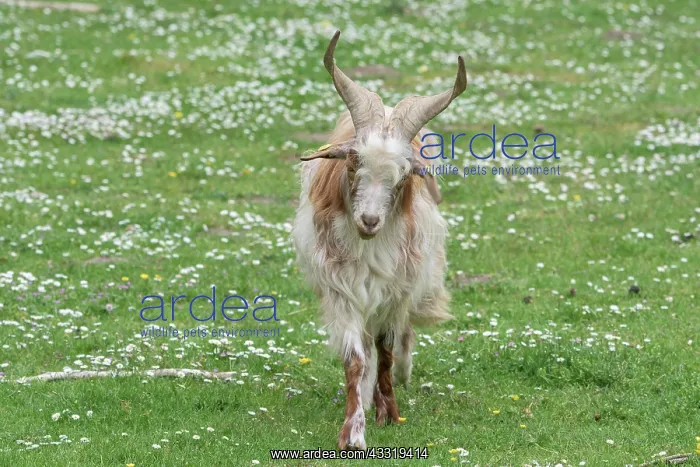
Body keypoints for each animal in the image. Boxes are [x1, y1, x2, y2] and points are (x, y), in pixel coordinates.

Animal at [292, 30, 468, 450]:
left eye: (403, 175)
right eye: (353, 163)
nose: (370, 221)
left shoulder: (397, 289)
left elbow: (387, 349)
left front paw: (389, 412)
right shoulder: (341, 290)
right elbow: (356, 358)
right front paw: (353, 432)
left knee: (400, 338)